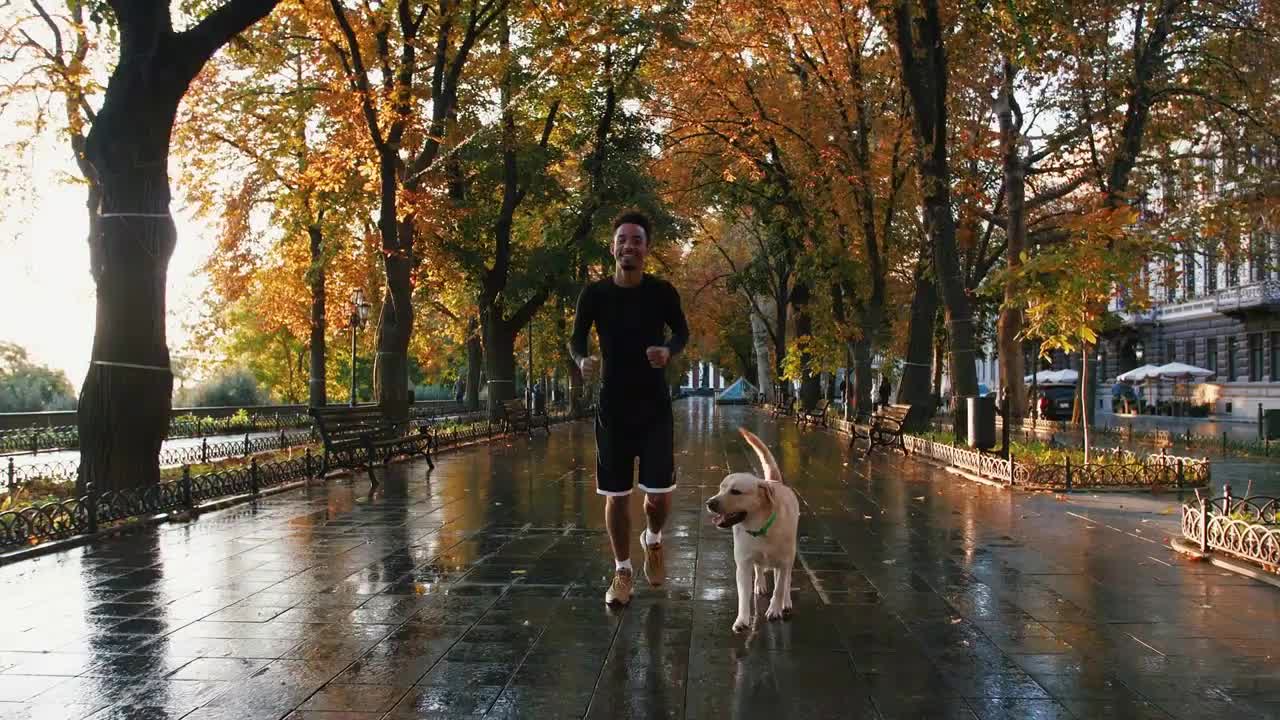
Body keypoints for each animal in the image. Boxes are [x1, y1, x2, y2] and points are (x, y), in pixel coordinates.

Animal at [706, 425, 793, 627]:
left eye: (736, 491)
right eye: (721, 488)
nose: (710, 503)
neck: (760, 528)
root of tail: (773, 481)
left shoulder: (784, 561)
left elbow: (779, 588)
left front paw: (775, 609)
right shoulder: (743, 564)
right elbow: (743, 594)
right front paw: (742, 619)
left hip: (790, 558)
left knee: (785, 580)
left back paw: (786, 601)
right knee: (759, 568)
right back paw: (760, 583)